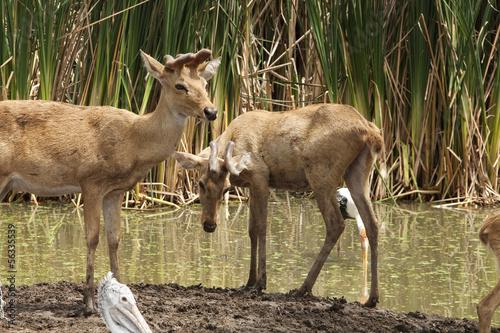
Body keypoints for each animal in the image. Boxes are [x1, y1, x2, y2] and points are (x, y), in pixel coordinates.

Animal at [0, 49, 221, 312]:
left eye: (205, 84)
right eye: (180, 85)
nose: (211, 111)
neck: (135, 141)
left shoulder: (115, 191)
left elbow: (114, 239)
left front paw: (122, 292)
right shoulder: (91, 180)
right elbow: (92, 238)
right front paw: (88, 301)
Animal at [174, 103, 384, 306]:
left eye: (226, 189)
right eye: (201, 184)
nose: (209, 225)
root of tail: (370, 132)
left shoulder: (260, 175)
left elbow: (262, 227)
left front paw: (260, 283)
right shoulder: (251, 185)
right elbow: (251, 230)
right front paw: (248, 281)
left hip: (321, 172)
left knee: (336, 223)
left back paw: (303, 288)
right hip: (358, 171)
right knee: (372, 223)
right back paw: (372, 298)